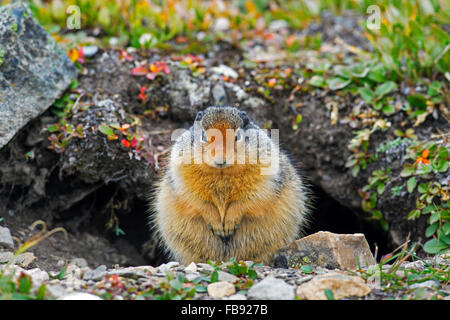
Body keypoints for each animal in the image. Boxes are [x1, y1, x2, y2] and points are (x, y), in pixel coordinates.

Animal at [153, 106, 308, 264]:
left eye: (237, 136)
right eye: (203, 136)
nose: (220, 159)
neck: (222, 173)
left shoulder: (263, 182)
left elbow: (245, 202)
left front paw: (228, 225)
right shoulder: (182, 180)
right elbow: (199, 202)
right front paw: (217, 225)